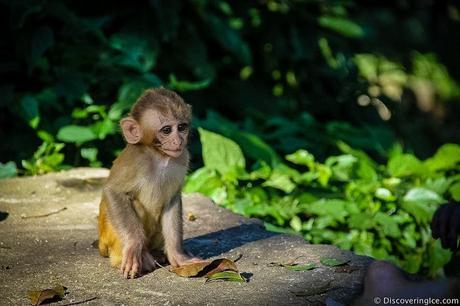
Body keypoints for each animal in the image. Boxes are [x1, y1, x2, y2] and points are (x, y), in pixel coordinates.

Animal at [99, 87, 199, 278]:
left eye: (182, 127)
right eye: (166, 130)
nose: (178, 140)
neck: (159, 156)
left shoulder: (182, 157)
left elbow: (172, 200)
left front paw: (177, 255)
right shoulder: (136, 160)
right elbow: (113, 192)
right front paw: (134, 245)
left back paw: (157, 254)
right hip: (109, 238)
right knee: (134, 204)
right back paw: (140, 255)